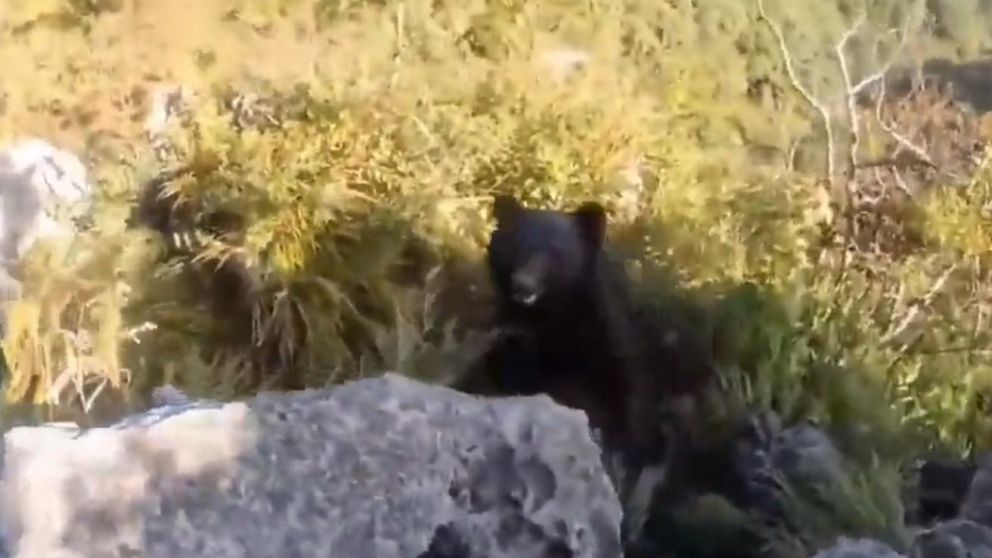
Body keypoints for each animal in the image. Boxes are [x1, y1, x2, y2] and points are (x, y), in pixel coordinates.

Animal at [450, 194, 718, 477]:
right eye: (515, 244)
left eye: (556, 252)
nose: (523, 285)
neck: (553, 318)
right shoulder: (514, 341)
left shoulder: (610, 347)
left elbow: (626, 405)